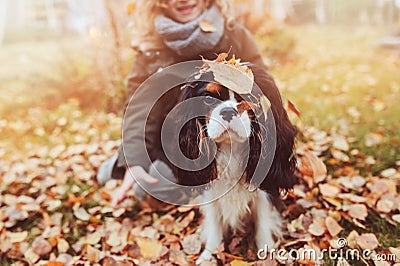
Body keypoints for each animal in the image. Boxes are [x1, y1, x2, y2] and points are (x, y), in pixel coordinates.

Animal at [170, 64, 296, 264]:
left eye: (249, 97)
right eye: (208, 98)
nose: (228, 111)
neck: (232, 150)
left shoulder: (263, 192)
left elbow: (263, 221)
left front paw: (267, 253)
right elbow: (214, 225)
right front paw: (209, 255)